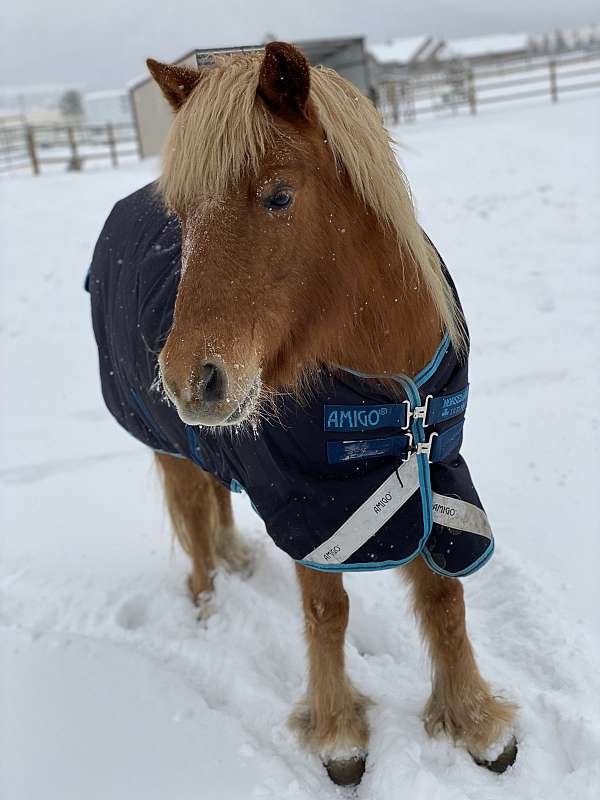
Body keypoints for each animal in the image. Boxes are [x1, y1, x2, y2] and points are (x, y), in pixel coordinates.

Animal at [91, 42, 517, 786]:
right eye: (182, 216)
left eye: (279, 196)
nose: (188, 380)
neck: (394, 394)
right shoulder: (312, 504)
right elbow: (327, 609)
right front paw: (338, 736)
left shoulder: (436, 474)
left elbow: (444, 597)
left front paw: (475, 723)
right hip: (171, 446)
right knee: (193, 526)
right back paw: (208, 608)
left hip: (207, 444)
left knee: (213, 503)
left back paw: (234, 559)